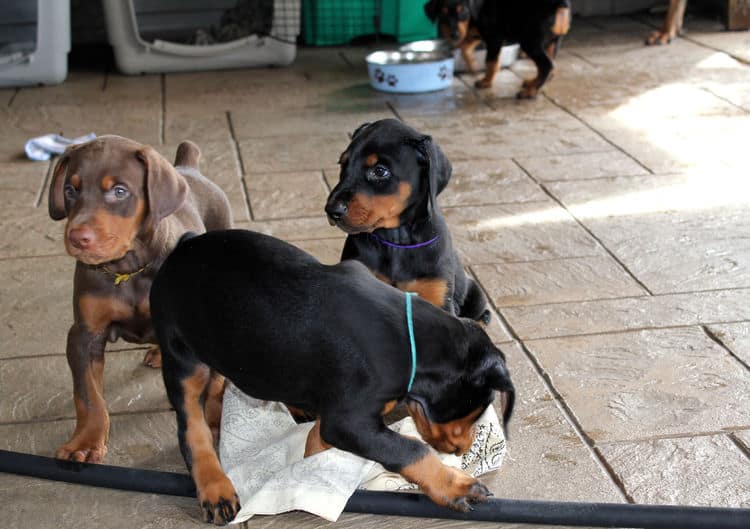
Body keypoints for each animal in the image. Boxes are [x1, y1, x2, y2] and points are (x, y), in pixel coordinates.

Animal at [47, 136, 232, 462]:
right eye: (70, 190)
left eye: (119, 191)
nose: (77, 238)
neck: (127, 269)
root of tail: (188, 168)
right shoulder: (84, 333)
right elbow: (88, 396)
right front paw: (85, 442)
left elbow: (208, 383)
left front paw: (212, 420)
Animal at [150, 229, 516, 520]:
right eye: (477, 407)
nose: (461, 449)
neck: (411, 340)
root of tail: (183, 245)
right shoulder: (349, 421)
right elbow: (408, 448)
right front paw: (456, 485)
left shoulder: (341, 416)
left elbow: (318, 440)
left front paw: (312, 460)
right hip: (181, 355)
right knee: (191, 425)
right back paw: (215, 486)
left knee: (217, 383)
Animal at [324, 119, 490, 324]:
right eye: (343, 164)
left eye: (380, 171)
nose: (332, 210)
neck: (396, 241)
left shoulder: (438, 296)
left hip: (476, 292)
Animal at [426, 0, 572, 98]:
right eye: (443, 14)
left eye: (463, 10)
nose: (454, 35)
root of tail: (559, 4)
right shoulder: (475, 33)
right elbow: (464, 48)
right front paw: (472, 66)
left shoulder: (493, 38)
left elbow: (491, 62)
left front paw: (486, 82)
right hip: (553, 41)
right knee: (551, 64)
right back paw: (533, 83)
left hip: (530, 42)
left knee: (546, 64)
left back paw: (530, 92)